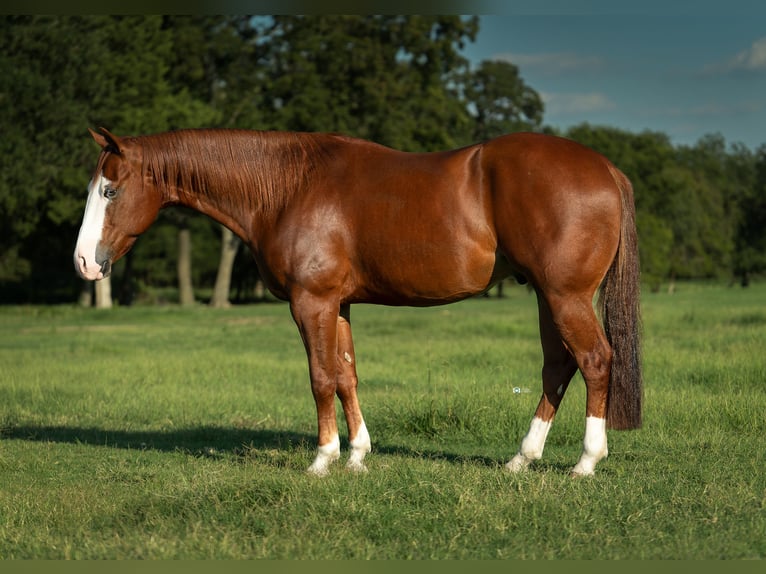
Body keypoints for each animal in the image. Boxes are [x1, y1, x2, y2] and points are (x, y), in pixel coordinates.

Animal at [74, 127, 642, 477]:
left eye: (109, 190)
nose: (84, 262)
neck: (288, 187)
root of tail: (607, 168)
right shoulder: (338, 305)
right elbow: (346, 375)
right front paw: (357, 455)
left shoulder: (311, 303)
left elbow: (320, 377)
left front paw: (323, 459)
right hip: (548, 297)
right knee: (558, 368)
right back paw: (522, 459)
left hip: (565, 297)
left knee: (594, 361)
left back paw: (586, 462)